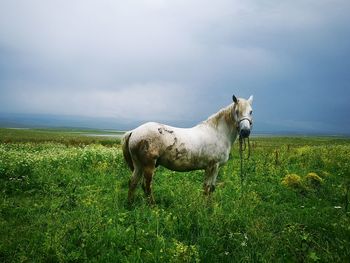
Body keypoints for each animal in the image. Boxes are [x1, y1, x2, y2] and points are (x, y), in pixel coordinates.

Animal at [121, 95, 253, 204]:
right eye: (237, 111)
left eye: (251, 111)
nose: (245, 131)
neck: (217, 133)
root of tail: (133, 132)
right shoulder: (213, 166)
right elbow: (208, 188)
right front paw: (207, 209)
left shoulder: (212, 168)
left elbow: (209, 188)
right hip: (148, 166)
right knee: (146, 186)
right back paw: (153, 207)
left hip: (138, 165)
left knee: (133, 183)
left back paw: (130, 204)